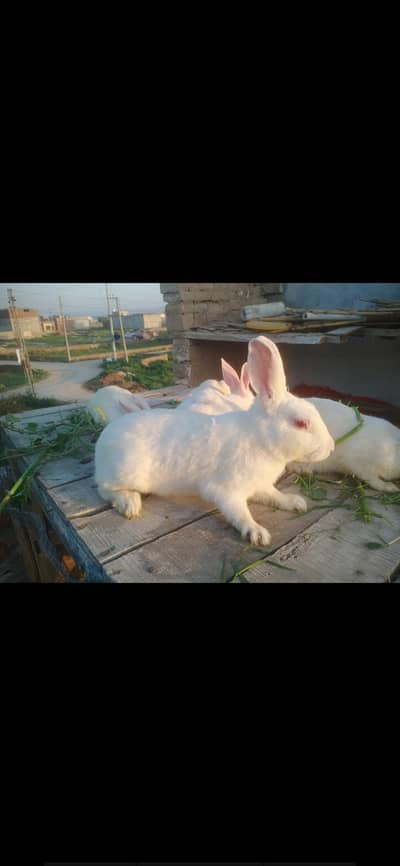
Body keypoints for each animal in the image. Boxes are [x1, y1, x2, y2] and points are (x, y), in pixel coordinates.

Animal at [94, 336, 335, 546]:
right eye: (301, 423)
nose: (331, 447)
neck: (258, 438)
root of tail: (104, 439)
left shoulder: (260, 485)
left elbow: (274, 496)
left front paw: (295, 503)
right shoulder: (226, 490)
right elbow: (239, 513)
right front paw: (257, 533)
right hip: (125, 473)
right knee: (104, 488)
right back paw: (130, 504)